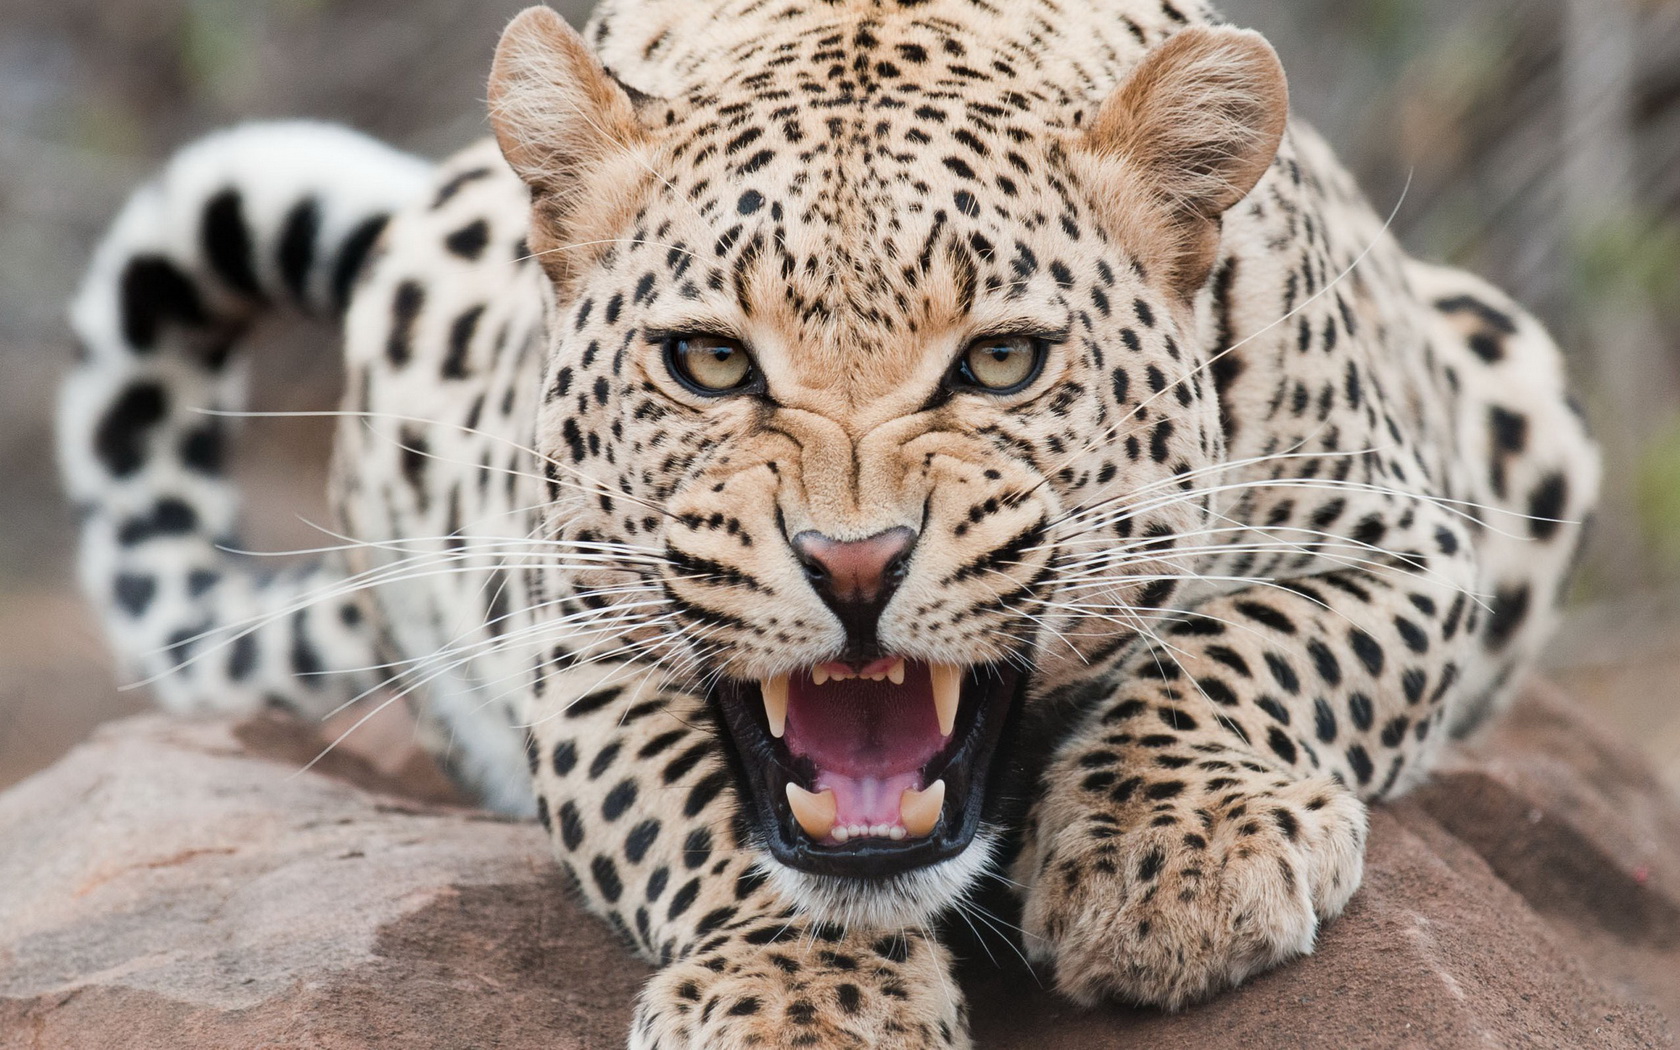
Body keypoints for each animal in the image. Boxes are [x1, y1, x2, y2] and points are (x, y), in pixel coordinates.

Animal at [55, 4, 1599, 1041]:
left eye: (1001, 362)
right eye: (709, 362)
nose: (853, 566)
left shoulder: (1401, 535)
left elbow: (1253, 647)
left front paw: (1174, 864)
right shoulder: (577, 629)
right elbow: (695, 813)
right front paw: (802, 998)